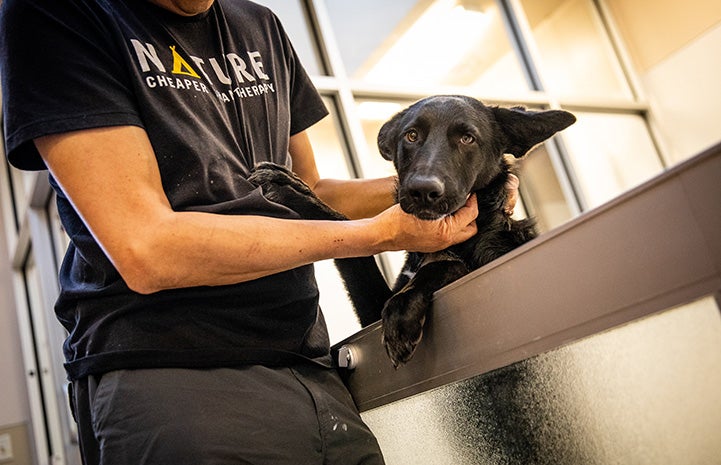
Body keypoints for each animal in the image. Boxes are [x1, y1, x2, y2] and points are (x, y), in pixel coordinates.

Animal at [248, 95, 572, 366]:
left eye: (468, 138)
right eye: (412, 135)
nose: (423, 191)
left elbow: (445, 267)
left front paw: (401, 314)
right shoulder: (370, 316)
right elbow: (348, 240)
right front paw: (293, 189)